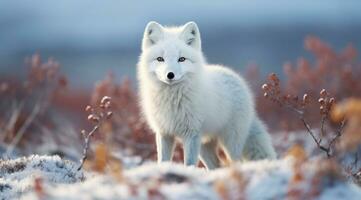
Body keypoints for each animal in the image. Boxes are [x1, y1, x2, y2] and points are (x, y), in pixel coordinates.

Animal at [137, 21, 276, 169]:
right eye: (160, 59)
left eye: (181, 59)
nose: (170, 75)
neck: (171, 100)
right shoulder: (164, 132)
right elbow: (163, 160)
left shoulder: (191, 133)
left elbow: (189, 163)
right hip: (204, 146)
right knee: (216, 165)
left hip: (230, 142)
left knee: (236, 161)